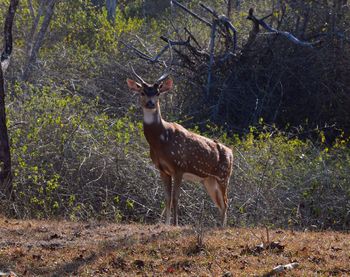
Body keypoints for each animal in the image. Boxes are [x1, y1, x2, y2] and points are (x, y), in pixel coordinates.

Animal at [126, 67, 232, 226]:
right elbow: (167, 198)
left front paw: (175, 224)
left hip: (223, 176)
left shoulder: (179, 166)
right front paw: (166, 224)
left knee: (225, 203)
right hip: (209, 180)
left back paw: (222, 227)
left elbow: (176, 198)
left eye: (157, 92)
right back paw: (218, 226)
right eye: (142, 92)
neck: (161, 140)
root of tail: (231, 152)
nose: (151, 103)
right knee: (220, 204)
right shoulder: (163, 169)